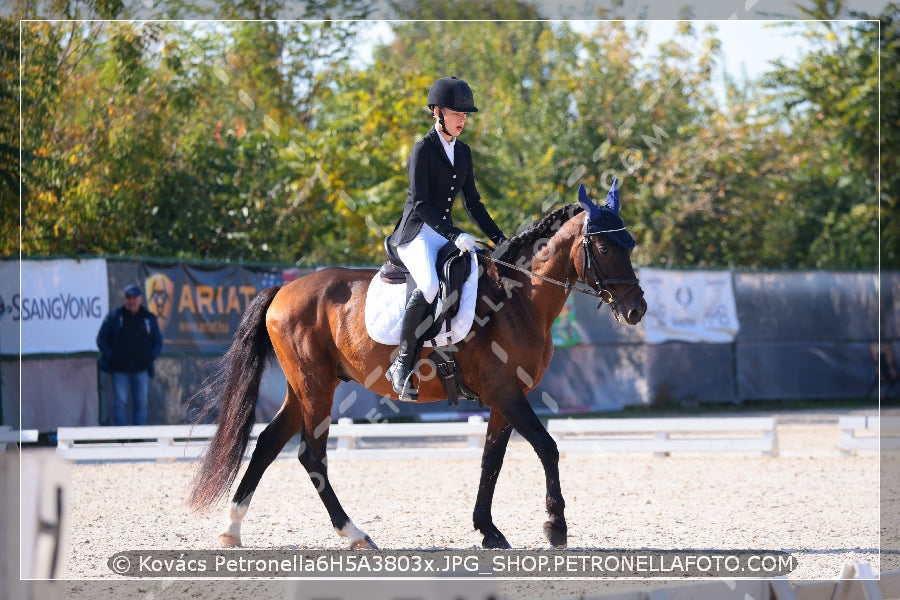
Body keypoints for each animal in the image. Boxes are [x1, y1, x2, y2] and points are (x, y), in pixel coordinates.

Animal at [186, 185, 644, 552]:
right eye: (606, 249)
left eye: (630, 245)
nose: (636, 309)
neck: (519, 299)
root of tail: (283, 289)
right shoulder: (506, 393)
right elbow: (547, 448)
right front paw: (556, 527)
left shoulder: (504, 399)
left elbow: (491, 461)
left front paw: (488, 530)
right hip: (316, 387)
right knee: (311, 456)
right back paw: (355, 534)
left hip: (304, 387)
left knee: (267, 444)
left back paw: (232, 531)